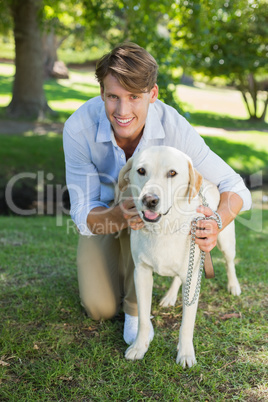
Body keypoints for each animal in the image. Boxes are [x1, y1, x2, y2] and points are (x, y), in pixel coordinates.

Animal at [118, 146, 240, 370]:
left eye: (172, 173)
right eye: (141, 171)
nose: (150, 200)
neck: (163, 228)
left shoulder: (193, 283)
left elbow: (186, 325)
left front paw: (185, 354)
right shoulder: (142, 273)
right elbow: (142, 318)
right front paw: (139, 347)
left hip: (225, 242)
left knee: (229, 263)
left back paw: (234, 286)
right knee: (178, 277)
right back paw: (170, 296)